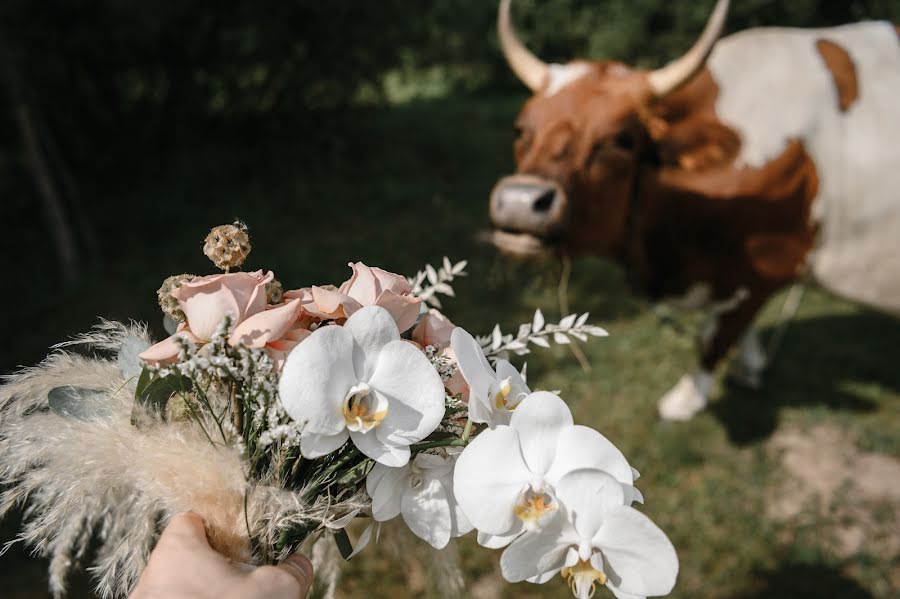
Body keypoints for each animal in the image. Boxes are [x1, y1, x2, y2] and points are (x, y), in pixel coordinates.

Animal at [492, 0, 900, 422]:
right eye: (520, 130)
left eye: (623, 139)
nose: (521, 202)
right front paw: (749, 367)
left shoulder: (765, 266)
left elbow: (717, 336)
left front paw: (686, 398)